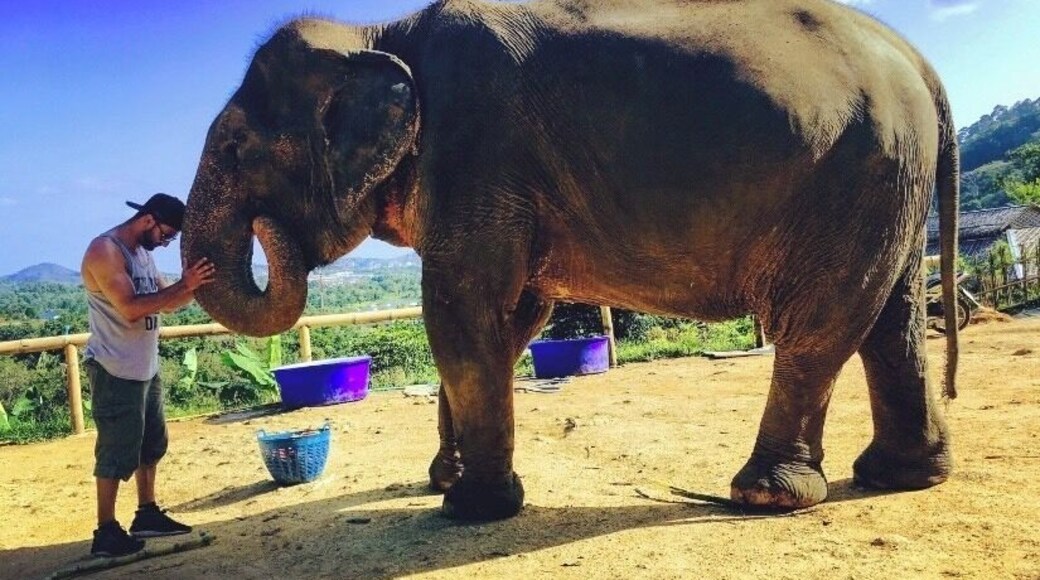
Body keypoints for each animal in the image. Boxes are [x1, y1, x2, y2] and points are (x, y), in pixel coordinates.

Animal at [183, 0, 961, 521]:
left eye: (234, 150)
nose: (267, 230)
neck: (380, 34)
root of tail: (922, 64)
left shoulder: (476, 147)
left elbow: (460, 308)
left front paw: (469, 508)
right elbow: (512, 318)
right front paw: (446, 480)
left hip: (859, 171)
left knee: (820, 323)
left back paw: (764, 494)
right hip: (889, 181)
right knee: (890, 318)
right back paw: (900, 476)